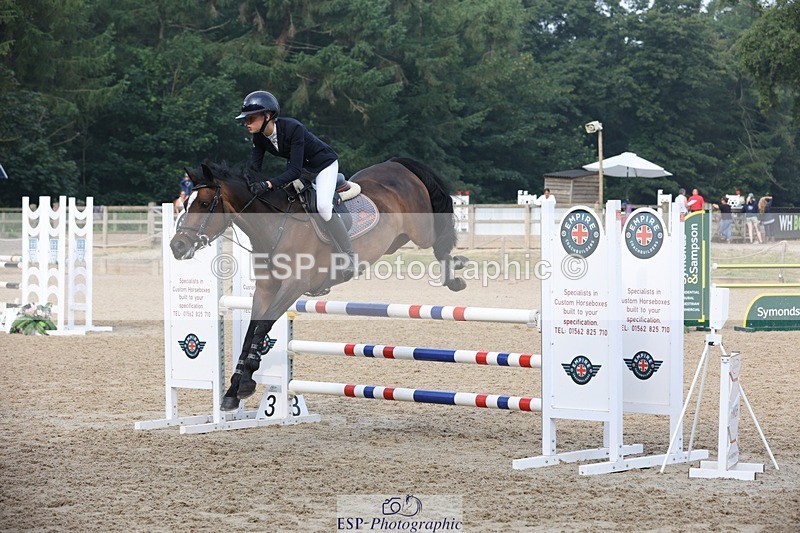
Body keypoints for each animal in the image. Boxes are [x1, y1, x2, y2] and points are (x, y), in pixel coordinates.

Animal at [170, 157, 468, 411]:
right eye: (185, 205)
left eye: (205, 204)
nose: (177, 246)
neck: (275, 227)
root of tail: (398, 165)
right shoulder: (266, 289)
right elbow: (251, 332)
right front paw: (233, 391)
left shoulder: (293, 287)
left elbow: (262, 327)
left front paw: (244, 383)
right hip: (396, 240)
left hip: (421, 231)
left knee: (440, 242)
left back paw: (456, 274)